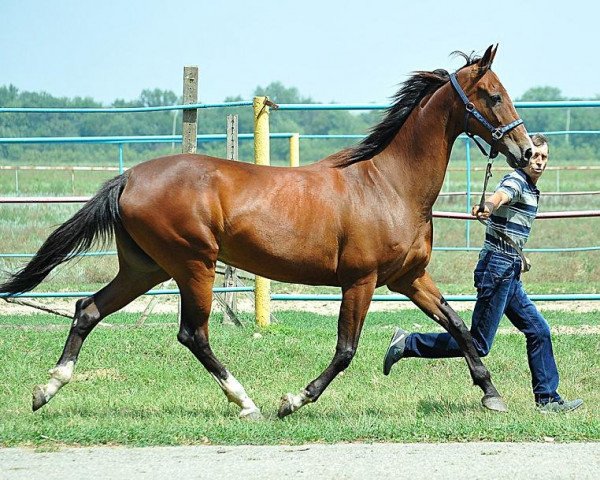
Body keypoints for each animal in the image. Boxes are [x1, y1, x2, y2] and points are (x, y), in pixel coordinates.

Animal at [2, 46, 532, 420]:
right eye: (492, 96)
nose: (528, 152)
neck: (389, 185)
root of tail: (129, 177)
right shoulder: (359, 281)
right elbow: (346, 350)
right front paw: (293, 400)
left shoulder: (410, 279)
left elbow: (459, 326)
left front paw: (492, 395)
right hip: (194, 265)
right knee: (193, 334)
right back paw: (246, 402)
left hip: (144, 268)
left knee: (87, 309)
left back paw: (45, 390)